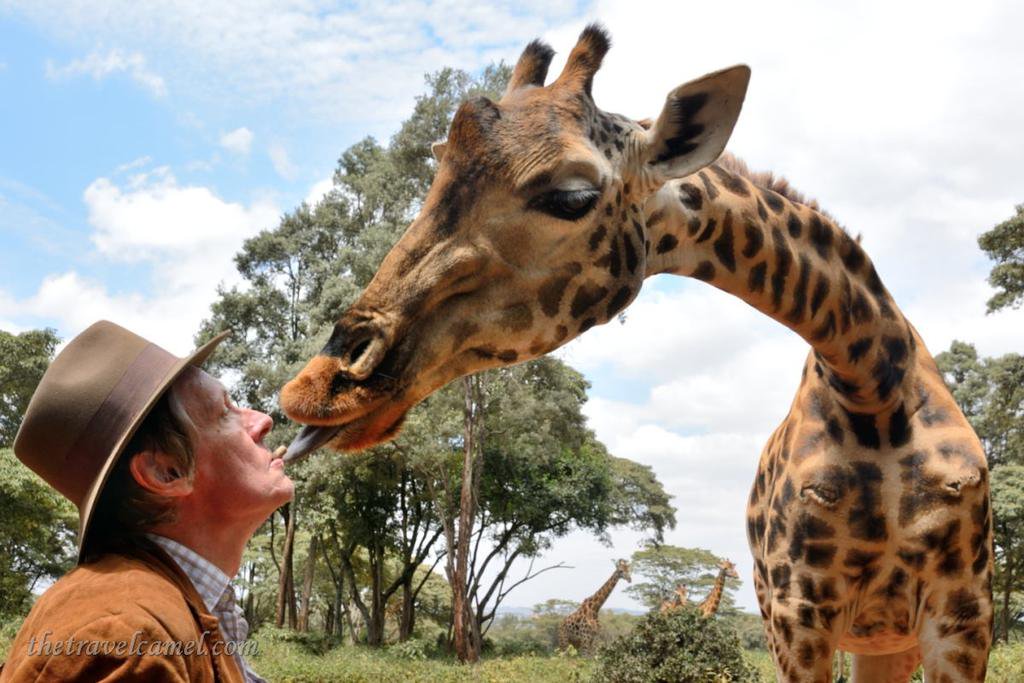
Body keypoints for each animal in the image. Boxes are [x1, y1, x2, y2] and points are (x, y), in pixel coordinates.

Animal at [280, 24, 991, 679]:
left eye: (571, 196)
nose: (317, 387)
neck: (870, 383)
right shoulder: (795, 615)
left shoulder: (962, 617)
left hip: (885, 639)